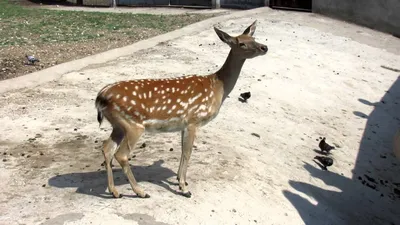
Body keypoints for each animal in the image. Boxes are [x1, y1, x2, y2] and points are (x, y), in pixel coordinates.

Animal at [95, 20, 268, 198]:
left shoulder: (183, 125)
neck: (218, 86)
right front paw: (184, 188)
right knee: (121, 154)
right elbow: (187, 152)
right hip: (133, 125)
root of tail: (100, 97)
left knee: (107, 149)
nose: (264, 47)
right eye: (242, 43)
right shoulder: (193, 120)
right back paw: (140, 191)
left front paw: (180, 180)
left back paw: (115, 191)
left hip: (118, 125)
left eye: (253, 38)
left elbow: (182, 151)